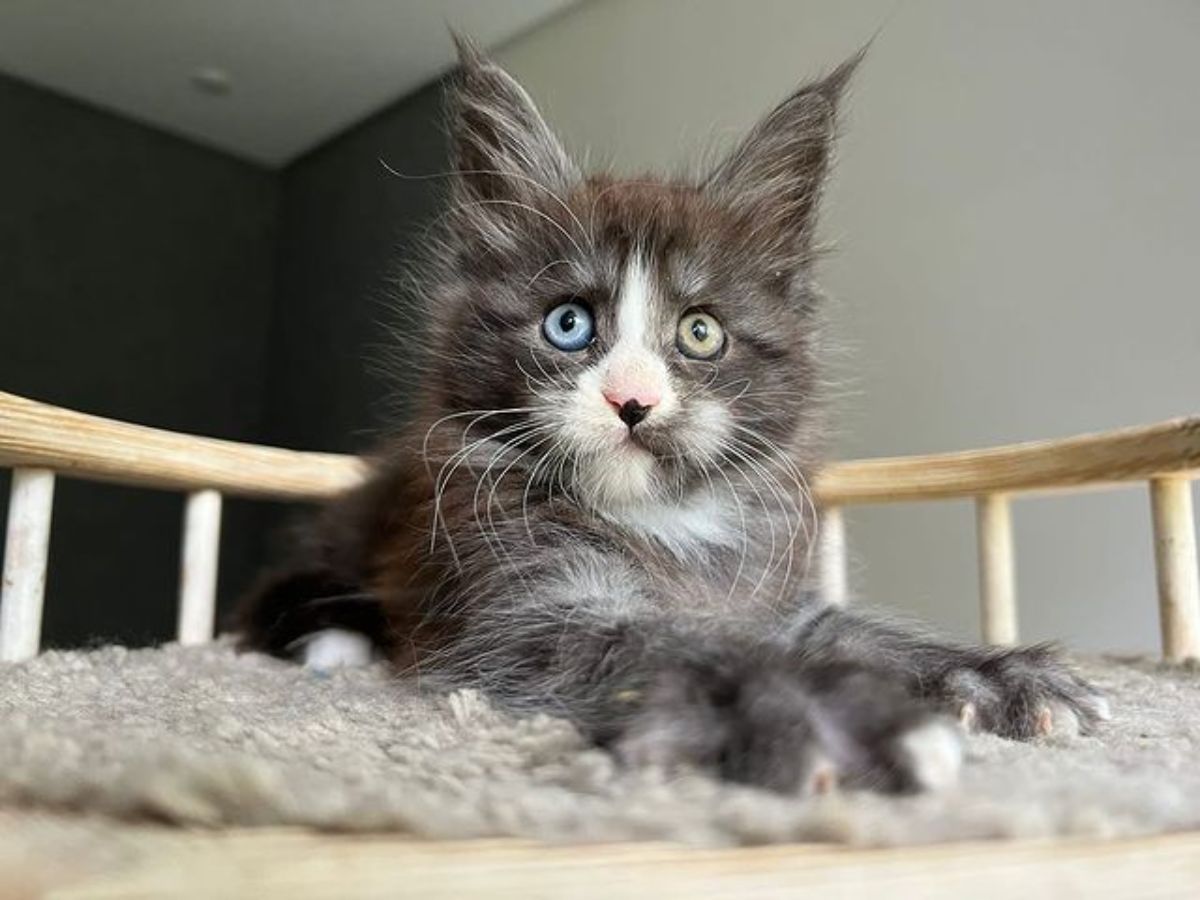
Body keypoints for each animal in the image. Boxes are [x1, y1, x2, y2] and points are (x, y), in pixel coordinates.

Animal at [238, 37, 1108, 796]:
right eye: (567, 324)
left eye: (700, 332)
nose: (632, 400)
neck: (664, 522)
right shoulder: (517, 611)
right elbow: (674, 645)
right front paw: (819, 713)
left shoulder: (768, 593)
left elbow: (854, 634)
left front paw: (998, 674)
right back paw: (336, 644)